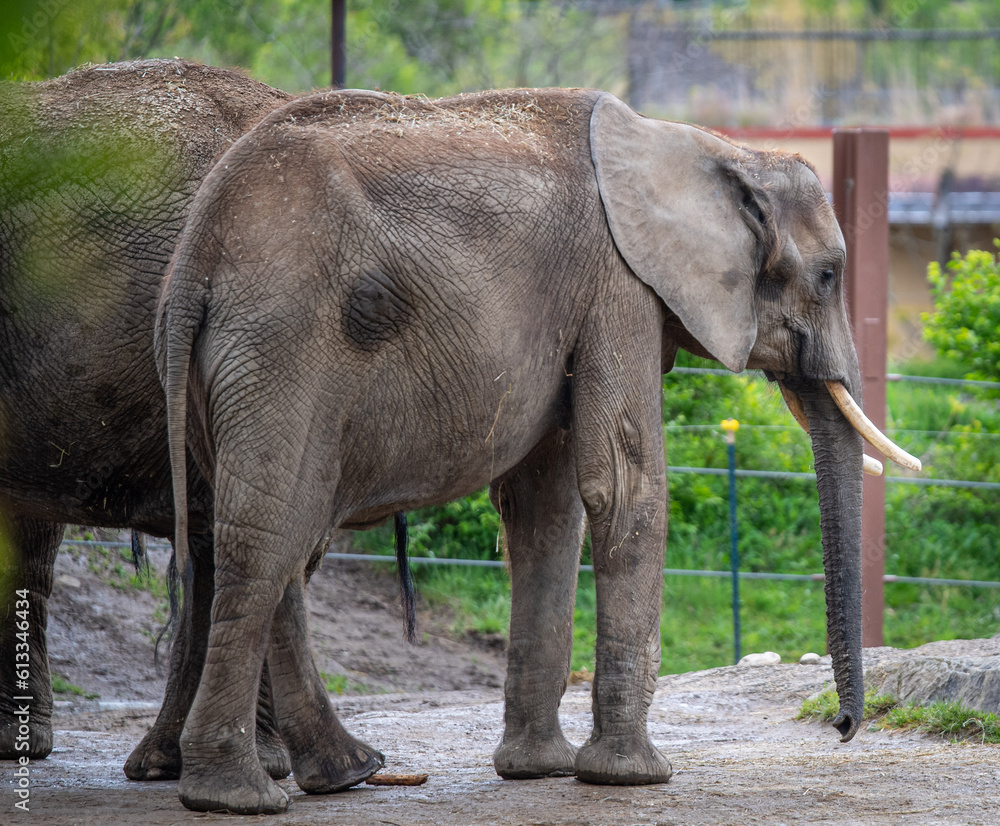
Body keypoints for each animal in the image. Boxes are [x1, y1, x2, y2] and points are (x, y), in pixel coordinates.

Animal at [155, 87, 920, 815]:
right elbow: (624, 482)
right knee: (266, 537)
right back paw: (237, 796)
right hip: (283, 349)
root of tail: (196, 255)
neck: (708, 148)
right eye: (829, 275)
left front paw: (539, 770)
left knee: (274, 539)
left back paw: (339, 773)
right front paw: (634, 777)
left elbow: (546, 507)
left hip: (222, 368)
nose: (843, 728)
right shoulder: (620, 285)